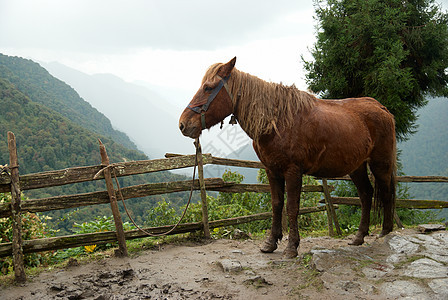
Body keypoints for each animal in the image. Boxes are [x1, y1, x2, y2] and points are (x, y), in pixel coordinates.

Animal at [178, 56, 396, 258]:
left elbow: (292, 207)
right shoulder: (272, 170)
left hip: (380, 164)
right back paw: (359, 236)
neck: (276, 121)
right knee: (366, 195)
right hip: (357, 167)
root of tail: (381, 108)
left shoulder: (293, 171)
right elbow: (277, 205)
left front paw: (292, 247)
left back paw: (386, 232)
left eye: (208, 87)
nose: (183, 124)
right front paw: (271, 243)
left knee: (385, 193)